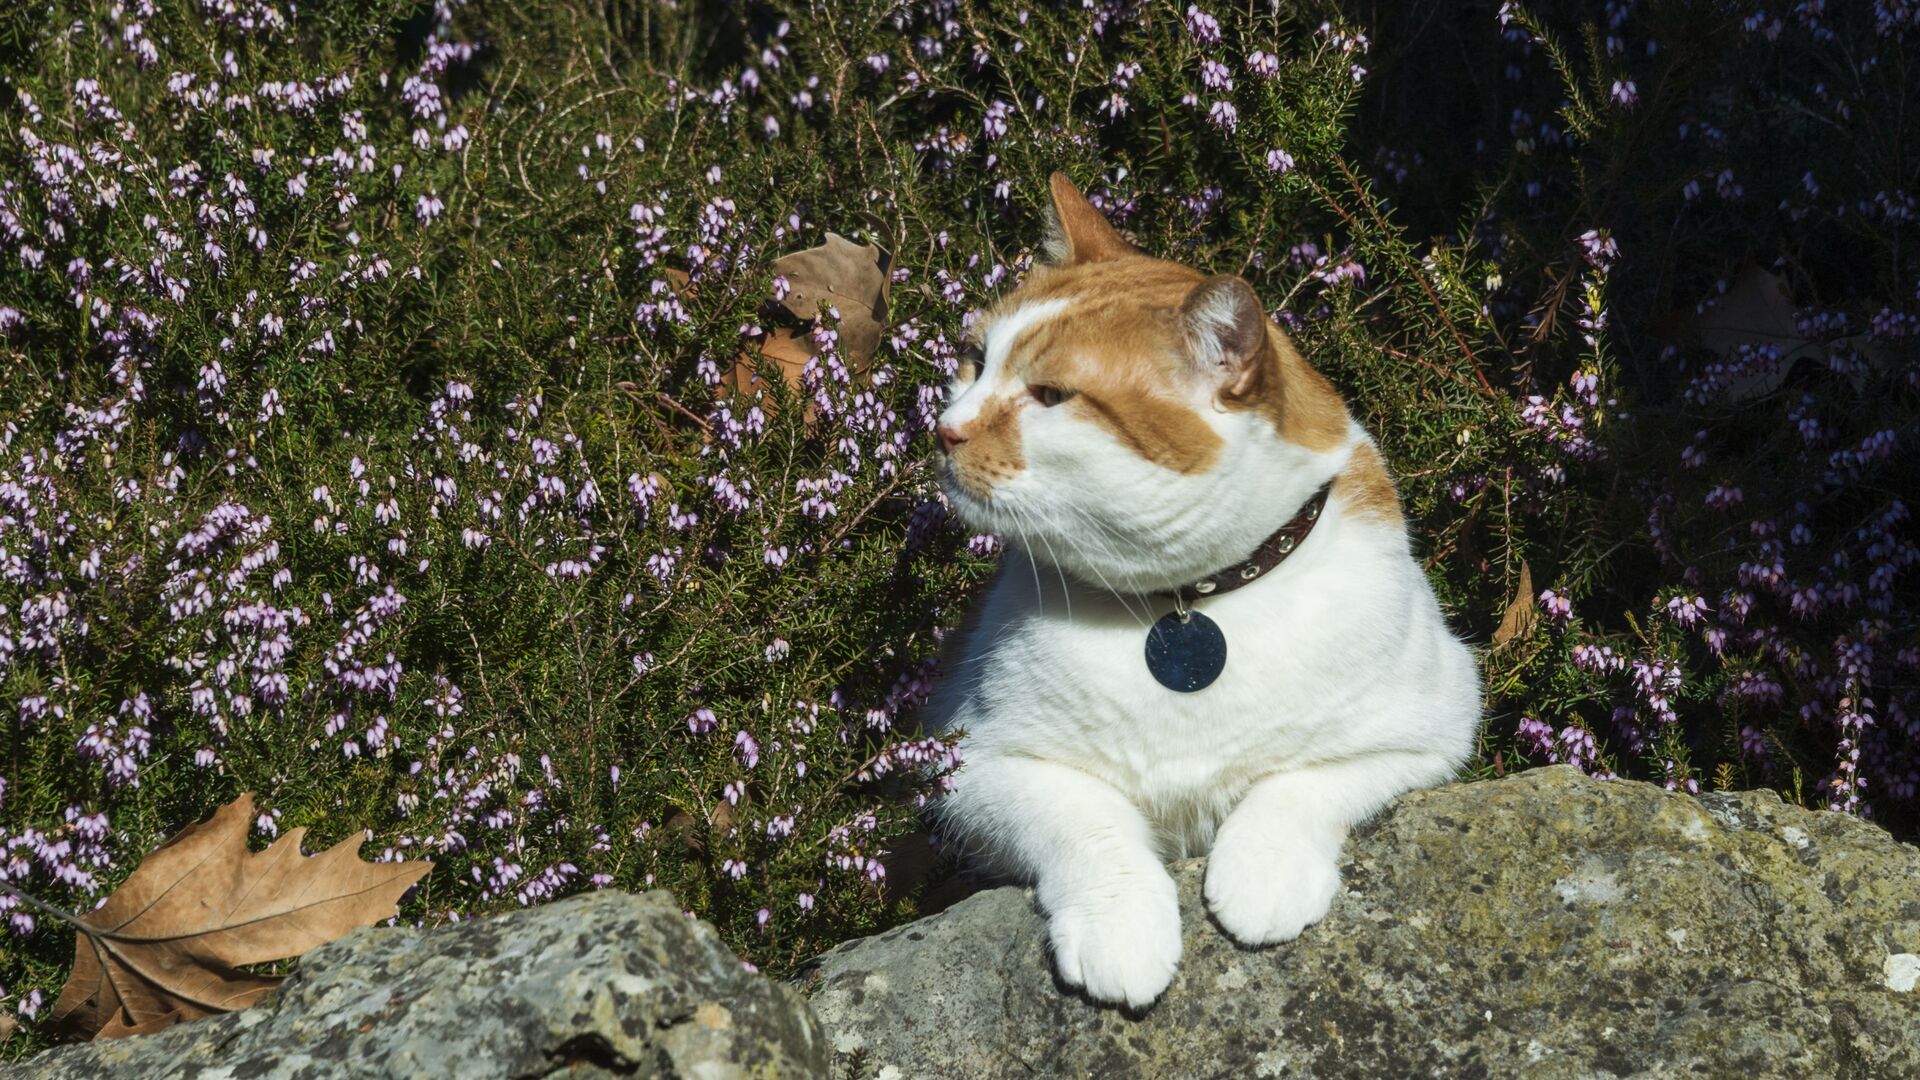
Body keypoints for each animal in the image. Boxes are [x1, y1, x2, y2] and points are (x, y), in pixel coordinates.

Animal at [929, 171, 1482, 1006]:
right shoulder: (979, 764)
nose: (943, 427)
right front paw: (1123, 924)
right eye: (972, 359)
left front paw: (1263, 873)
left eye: (1051, 396)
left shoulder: (1434, 726)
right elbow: (1085, 820)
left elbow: (1300, 782)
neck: (1186, 601)